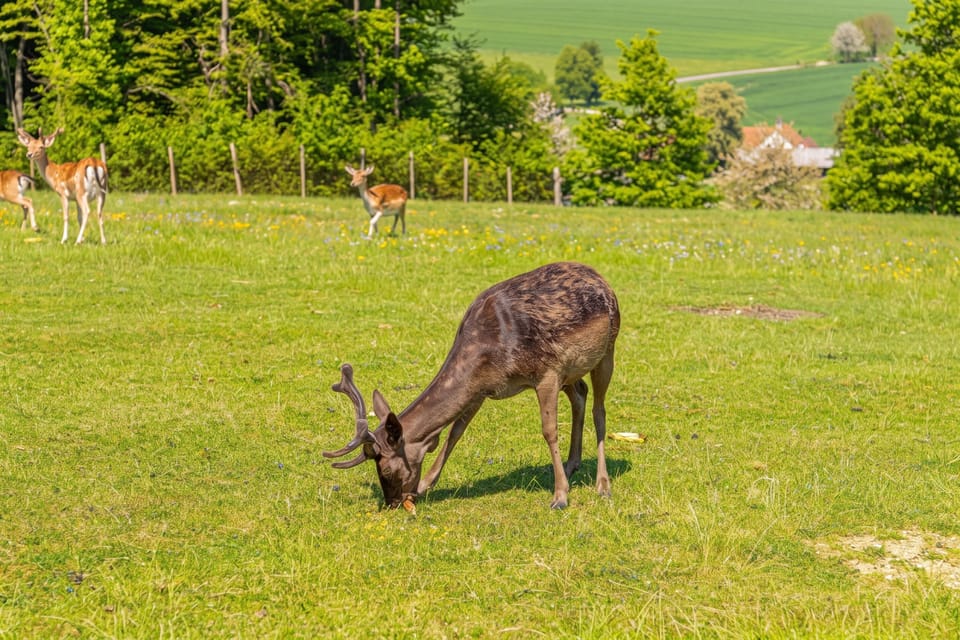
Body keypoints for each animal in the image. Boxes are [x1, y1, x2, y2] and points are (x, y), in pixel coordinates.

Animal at [324, 261, 621, 512]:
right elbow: (455, 432)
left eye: (385, 469)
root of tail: (601, 278)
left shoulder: (546, 373)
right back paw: (572, 464)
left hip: (607, 348)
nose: (392, 503)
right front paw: (425, 485)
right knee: (580, 394)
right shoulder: (482, 389)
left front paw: (560, 496)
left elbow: (549, 431)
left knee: (599, 410)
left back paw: (602, 485)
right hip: (571, 371)